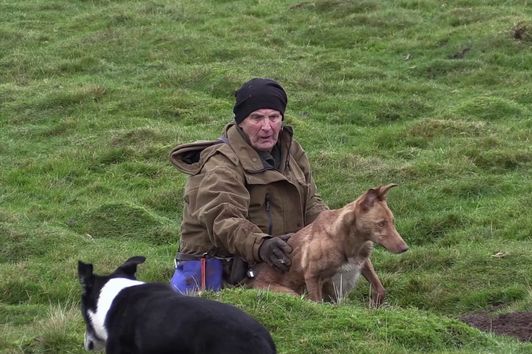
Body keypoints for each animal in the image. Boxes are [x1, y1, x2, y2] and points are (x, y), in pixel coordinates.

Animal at [248, 184, 408, 306]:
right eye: (381, 224)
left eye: (392, 221)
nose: (405, 248)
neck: (348, 242)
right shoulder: (312, 276)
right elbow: (317, 302)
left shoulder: (364, 262)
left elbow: (380, 288)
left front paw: (375, 305)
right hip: (291, 294)